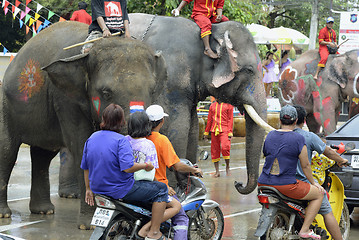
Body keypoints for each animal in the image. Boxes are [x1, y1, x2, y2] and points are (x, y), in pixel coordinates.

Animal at [0, 20, 167, 227]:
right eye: (106, 93)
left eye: (152, 91)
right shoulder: (65, 98)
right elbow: (81, 145)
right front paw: (89, 224)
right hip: (5, 104)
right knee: (7, 151)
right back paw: (5, 215)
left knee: (43, 155)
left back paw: (44, 211)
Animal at [128, 13, 274, 195]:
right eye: (249, 70)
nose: (237, 183)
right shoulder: (171, 81)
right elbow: (175, 129)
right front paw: (174, 189)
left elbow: (192, 129)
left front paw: (187, 183)